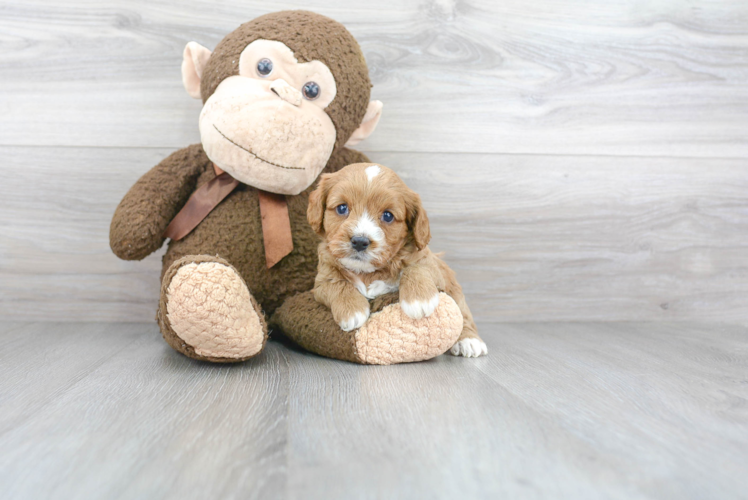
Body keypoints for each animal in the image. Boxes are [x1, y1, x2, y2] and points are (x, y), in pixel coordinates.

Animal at [306, 163, 488, 356]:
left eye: (388, 216)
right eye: (342, 208)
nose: (360, 241)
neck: (367, 271)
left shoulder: (430, 263)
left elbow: (415, 267)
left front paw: (419, 300)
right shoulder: (321, 280)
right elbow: (337, 284)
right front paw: (352, 310)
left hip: (452, 286)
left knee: (463, 314)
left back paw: (469, 340)